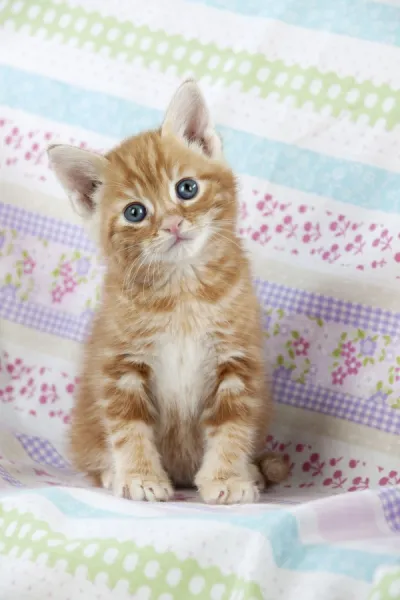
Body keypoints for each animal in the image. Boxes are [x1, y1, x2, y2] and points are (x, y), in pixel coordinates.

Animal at [48, 79, 288, 502]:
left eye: (186, 188)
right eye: (135, 212)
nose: (174, 224)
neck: (182, 292)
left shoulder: (237, 360)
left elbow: (232, 426)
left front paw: (227, 478)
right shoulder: (120, 363)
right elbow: (128, 428)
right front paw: (141, 477)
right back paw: (111, 472)